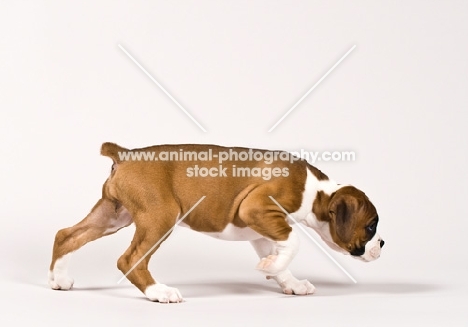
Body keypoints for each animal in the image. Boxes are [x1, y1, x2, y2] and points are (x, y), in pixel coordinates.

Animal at [48, 145, 384, 304]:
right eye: (371, 227)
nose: (382, 243)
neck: (316, 191)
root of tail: (126, 154)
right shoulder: (256, 209)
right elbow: (294, 241)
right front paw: (271, 270)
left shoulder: (262, 229)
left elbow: (280, 253)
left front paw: (287, 280)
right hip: (160, 217)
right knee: (130, 259)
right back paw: (159, 292)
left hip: (113, 215)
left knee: (67, 236)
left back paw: (58, 280)